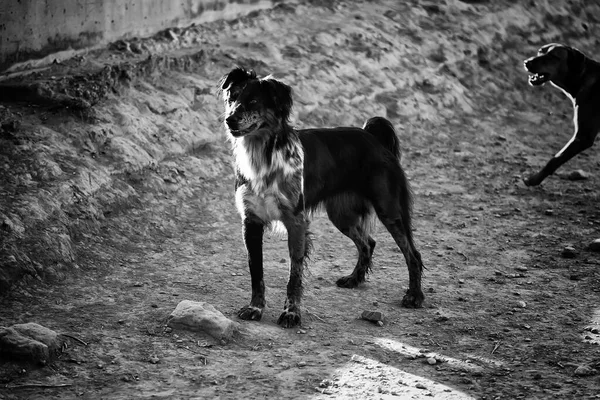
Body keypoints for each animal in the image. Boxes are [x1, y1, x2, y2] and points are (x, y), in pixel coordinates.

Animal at [218, 66, 424, 328]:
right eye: (232, 99)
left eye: (253, 101)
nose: (229, 119)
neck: (262, 156)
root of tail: (372, 136)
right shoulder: (251, 221)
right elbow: (257, 272)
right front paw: (255, 308)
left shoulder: (296, 222)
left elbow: (294, 275)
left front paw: (291, 313)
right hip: (341, 215)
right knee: (368, 242)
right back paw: (354, 279)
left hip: (389, 209)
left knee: (412, 254)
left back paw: (414, 296)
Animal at [520, 43, 600, 187]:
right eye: (540, 51)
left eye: (553, 56)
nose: (526, 62)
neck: (582, 77)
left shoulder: (583, 137)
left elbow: (554, 160)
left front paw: (533, 180)